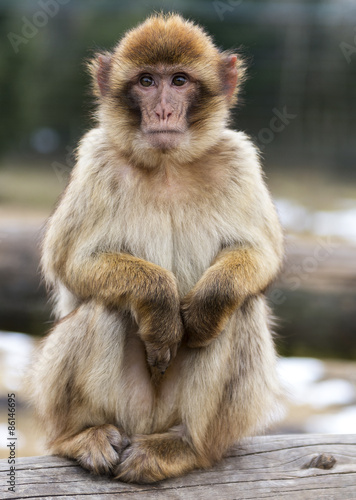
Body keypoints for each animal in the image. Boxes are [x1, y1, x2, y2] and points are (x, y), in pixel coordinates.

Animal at [29, 13, 284, 482]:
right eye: (147, 81)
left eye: (179, 80)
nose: (163, 110)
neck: (168, 164)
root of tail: (149, 423)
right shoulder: (96, 156)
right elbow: (70, 262)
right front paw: (161, 303)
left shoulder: (239, 156)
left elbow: (262, 255)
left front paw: (205, 306)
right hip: (119, 409)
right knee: (105, 306)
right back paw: (80, 436)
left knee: (241, 308)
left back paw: (185, 446)